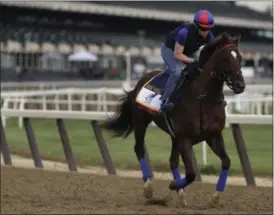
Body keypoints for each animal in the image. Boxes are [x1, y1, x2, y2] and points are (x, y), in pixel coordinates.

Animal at [101, 32, 245, 207]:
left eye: (240, 58)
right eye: (226, 59)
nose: (240, 85)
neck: (202, 98)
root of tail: (143, 79)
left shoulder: (213, 136)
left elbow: (226, 162)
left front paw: (215, 197)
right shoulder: (185, 138)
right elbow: (191, 173)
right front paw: (172, 185)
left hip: (173, 136)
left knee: (172, 161)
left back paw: (180, 196)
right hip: (141, 122)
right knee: (139, 149)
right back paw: (149, 189)